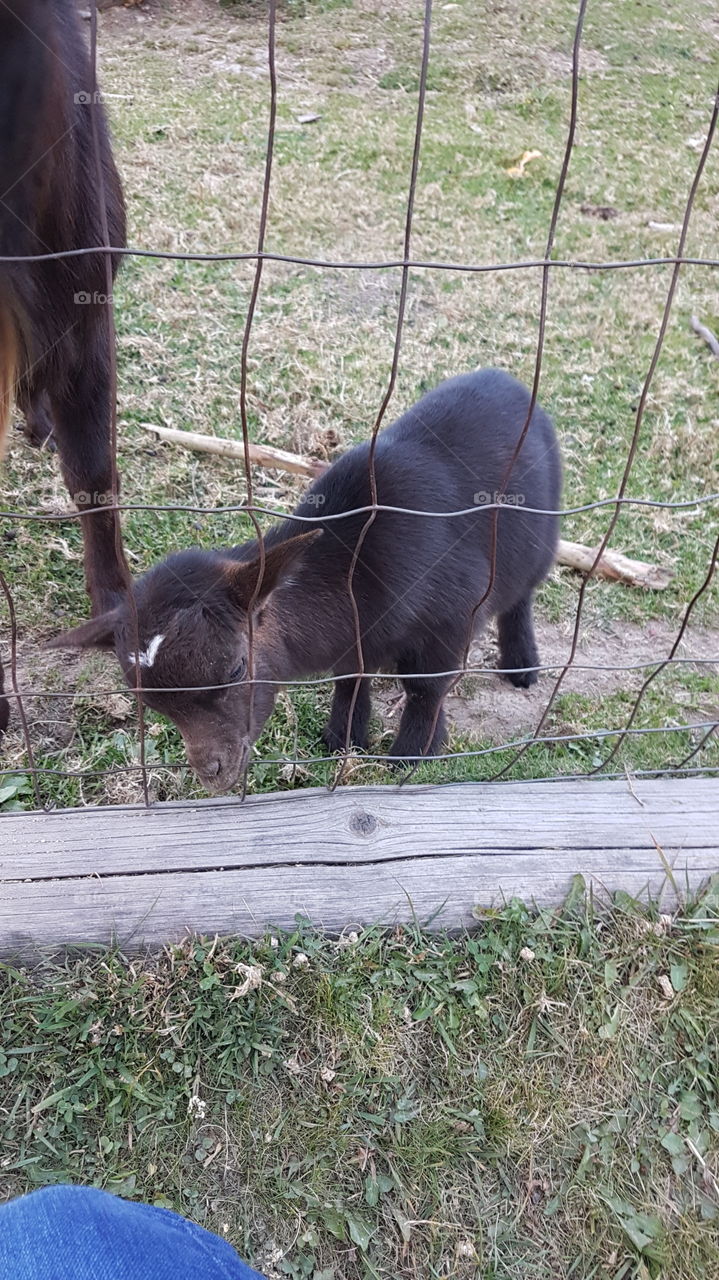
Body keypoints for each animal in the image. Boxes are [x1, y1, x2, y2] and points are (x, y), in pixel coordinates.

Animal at [51, 368, 562, 792]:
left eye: (236, 668)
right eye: (153, 705)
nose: (213, 773)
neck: (355, 570)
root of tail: (505, 378)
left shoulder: (452, 616)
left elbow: (425, 688)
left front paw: (409, 757)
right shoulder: (358, 636)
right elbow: (350, 678)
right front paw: (342, 739)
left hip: (541, 538)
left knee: (522, 595)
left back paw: (521, 665)